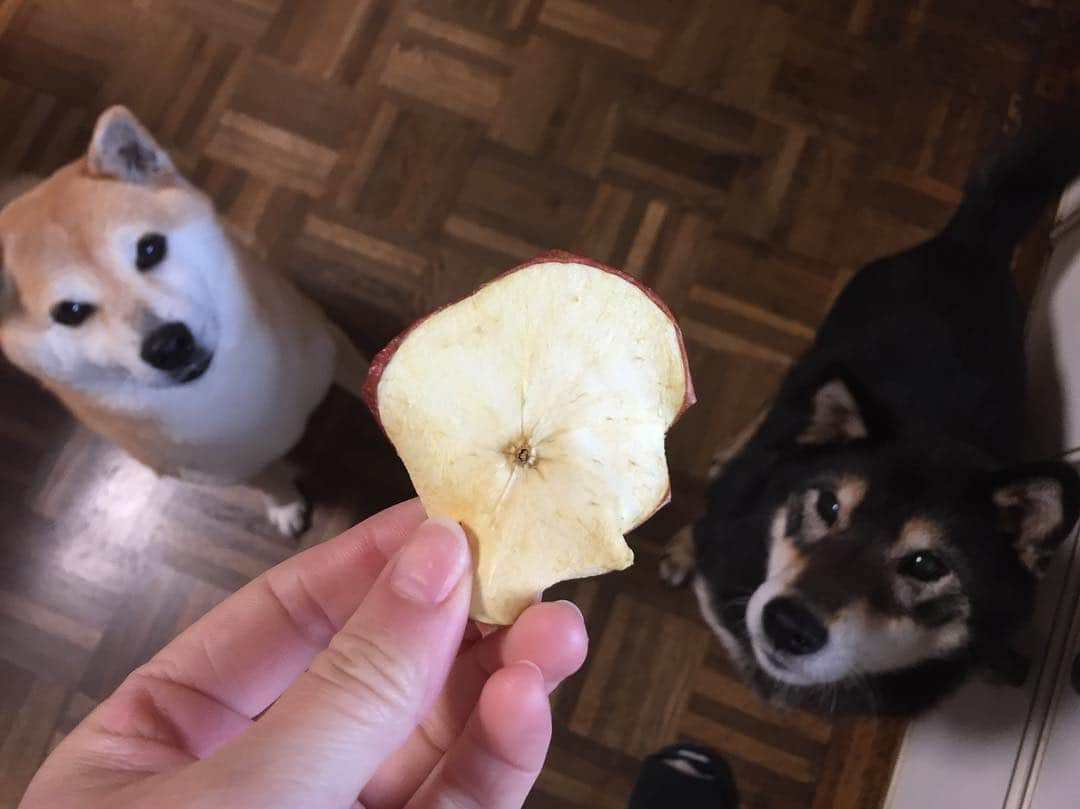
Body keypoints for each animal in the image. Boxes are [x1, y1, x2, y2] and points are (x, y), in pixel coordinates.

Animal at [0, 107, 367, 535]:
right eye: (70, 312)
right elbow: (266, 478)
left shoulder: (329, 347)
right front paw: (284, 503)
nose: (168, 345)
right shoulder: (229, 468)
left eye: (150, 248)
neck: (227, 389)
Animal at [673, 124, 1080, 712]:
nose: (788, 625)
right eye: (827, 505)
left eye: (926, 564)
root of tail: (968, 245)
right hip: (821, 348)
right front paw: (686, 543)